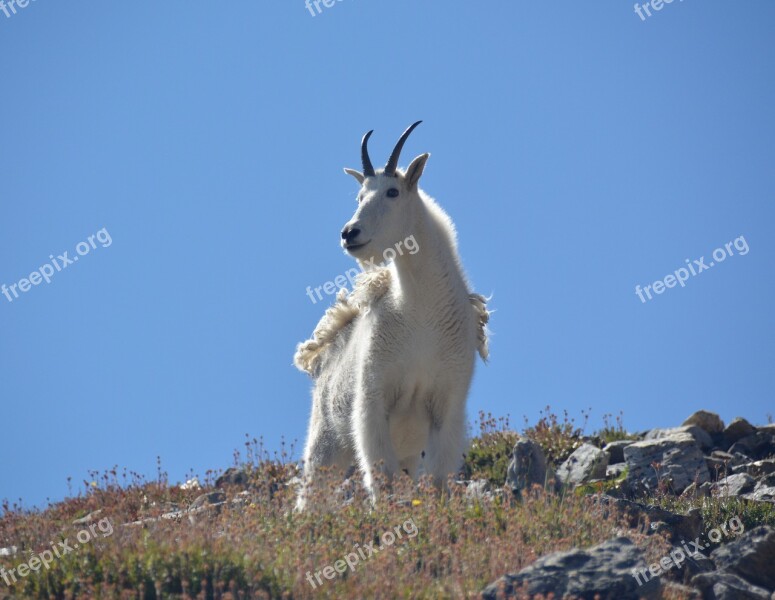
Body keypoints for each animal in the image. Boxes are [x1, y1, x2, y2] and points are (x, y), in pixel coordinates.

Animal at [294, 122, 488, 510]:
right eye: (359, 197)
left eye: (393, 191)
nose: (349, 233)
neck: (421, 313)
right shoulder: (374, 399)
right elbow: (380, 477)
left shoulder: (446, 403)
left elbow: (439, 478)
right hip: (326, 439)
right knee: (311, 492)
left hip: (407, 450)